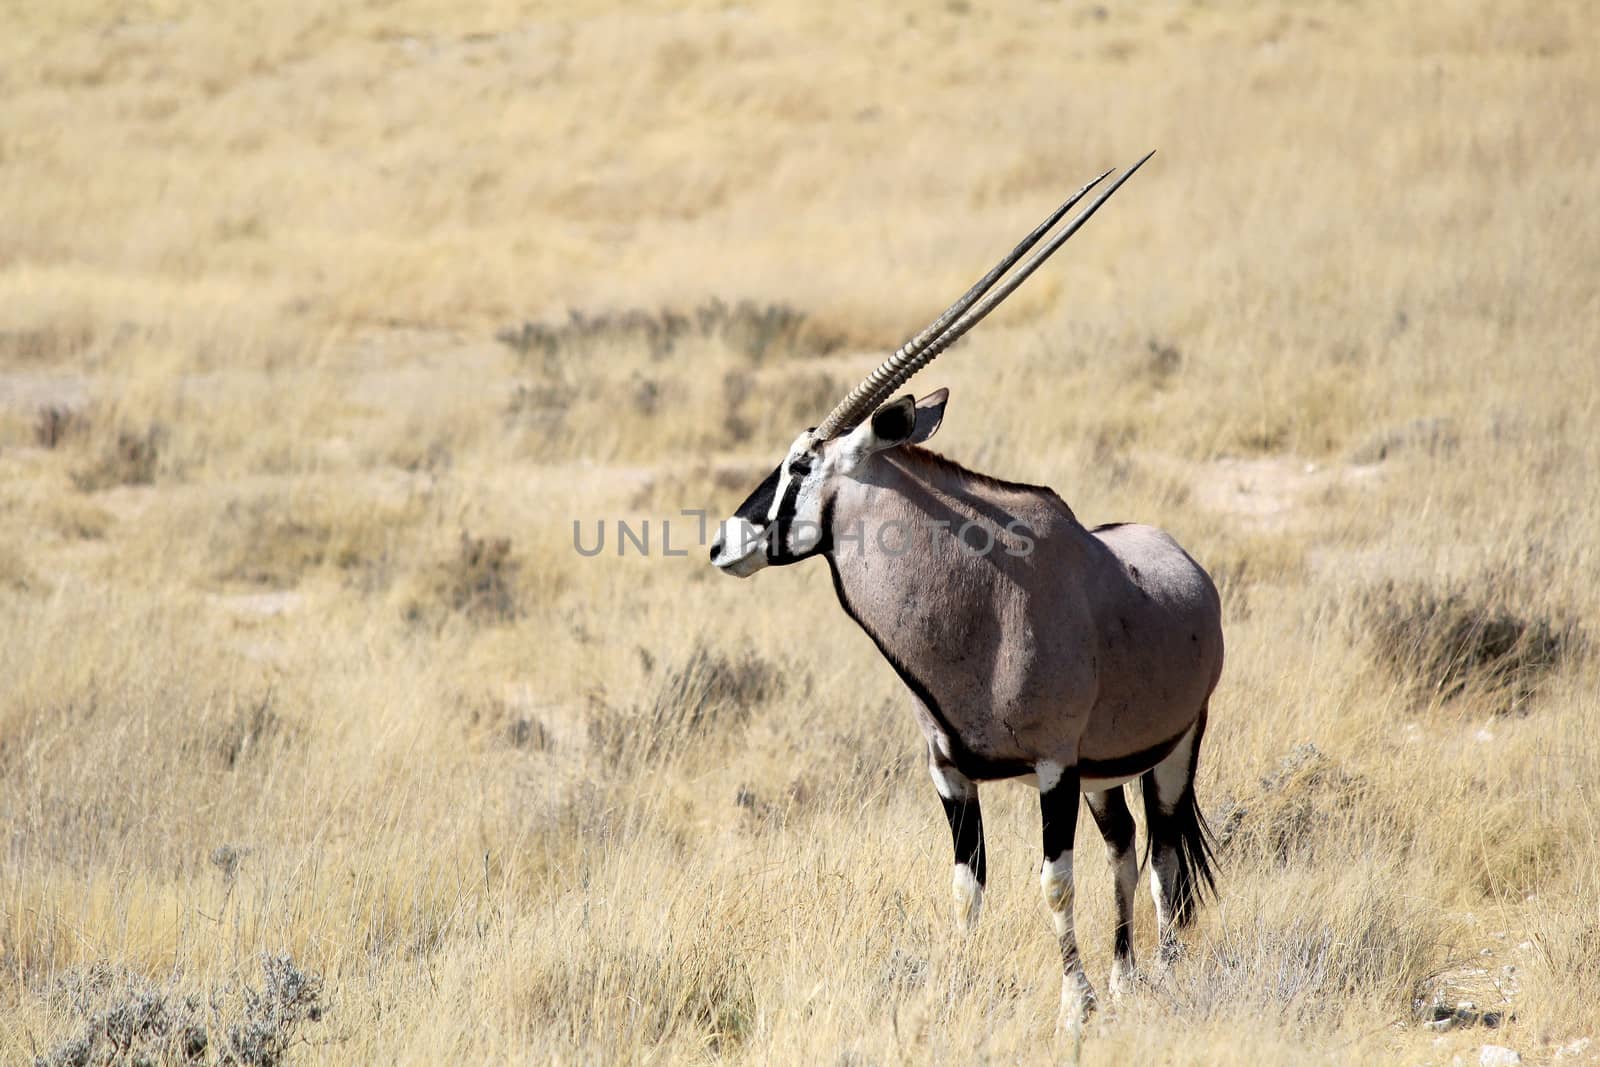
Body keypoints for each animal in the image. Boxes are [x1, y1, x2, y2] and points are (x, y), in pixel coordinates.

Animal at [707, 154, 1216, 1030]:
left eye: (801, 463)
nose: (723, 542)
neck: (979, 607)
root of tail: (1184, 560)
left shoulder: (1051, 766)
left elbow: (1054, 884)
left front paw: (1074, 1007)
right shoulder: (951, 773)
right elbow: (967, 889)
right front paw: (955, 991)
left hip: (1174, 751)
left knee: (1166, 858)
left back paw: (1161, 975)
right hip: (1106, 772)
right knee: (1124, 848)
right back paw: (1126, 975)